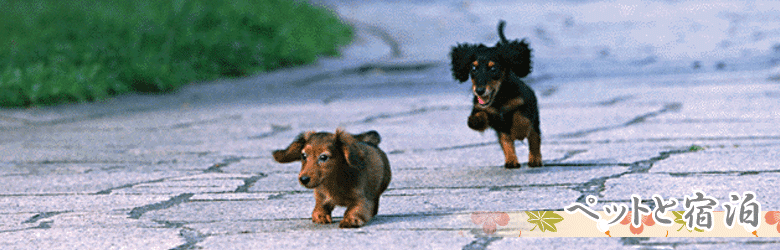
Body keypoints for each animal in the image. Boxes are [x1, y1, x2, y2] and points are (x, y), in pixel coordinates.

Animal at [450, 19, 544, 168]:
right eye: (473, 68)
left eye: (493, 68)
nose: (479, 90)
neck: (499, 98)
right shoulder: (488, 113)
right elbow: (484, 117)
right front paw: (475, 120)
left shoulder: (525, 104)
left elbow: (521, 119)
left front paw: (519, 131)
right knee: (505, 140)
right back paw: (511, 160)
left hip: (535, 120)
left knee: (534, 136)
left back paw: (535, 159)